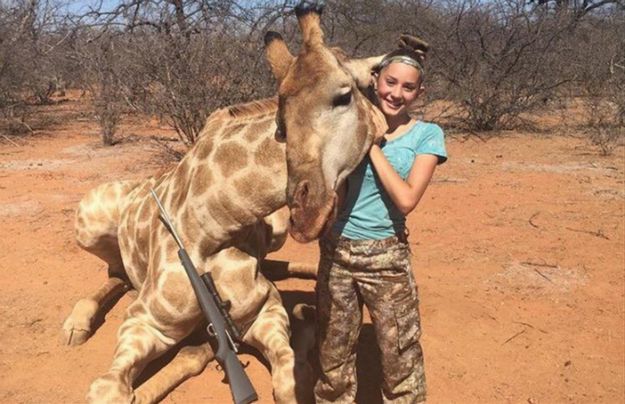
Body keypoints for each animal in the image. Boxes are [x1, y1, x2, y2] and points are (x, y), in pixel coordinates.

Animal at [62, 1, 386, 402]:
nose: (306, 210)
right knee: (115, 274)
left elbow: (288, 378)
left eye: (343, 96)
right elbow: (109, 388)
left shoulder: (262, 311)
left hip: (276, 229)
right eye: (281, 119)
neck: (214, 223)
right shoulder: (145, 321)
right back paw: (77, 324)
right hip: (88, 221)